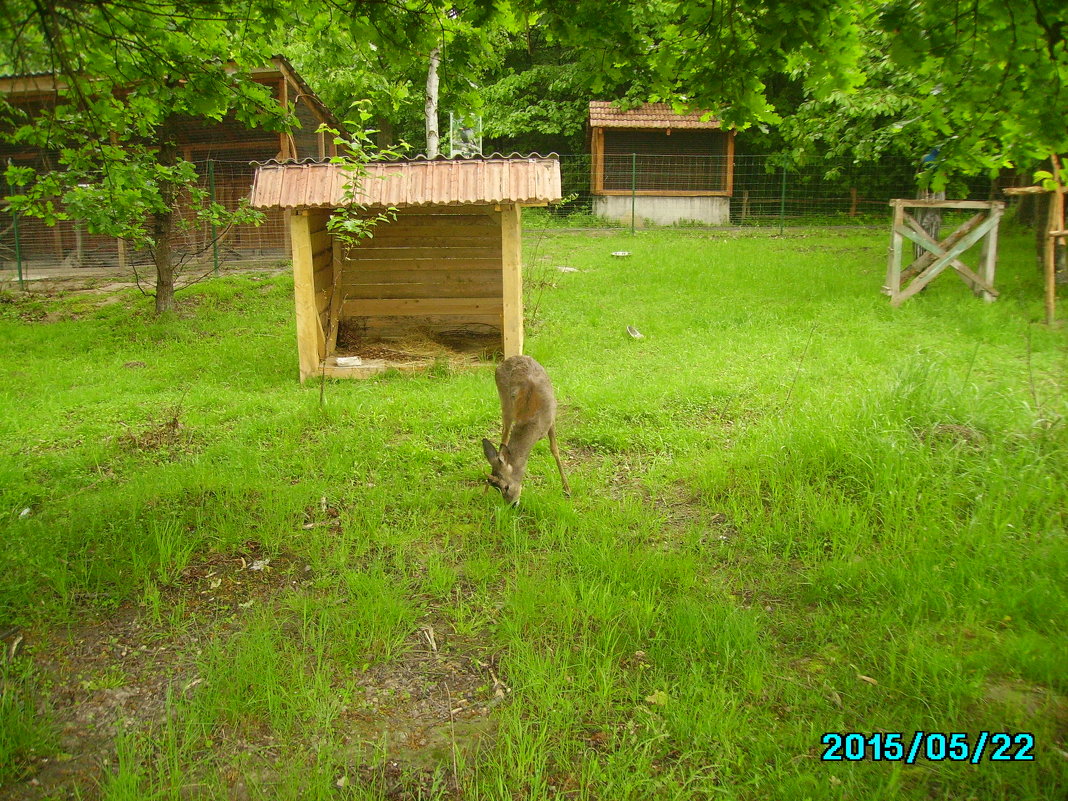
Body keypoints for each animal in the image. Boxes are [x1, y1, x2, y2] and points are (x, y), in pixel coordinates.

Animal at [482, 354, 572, 504]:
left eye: (506, 486)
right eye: (497, 488)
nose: (512, 505)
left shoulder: (552, 420)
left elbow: (555, 450)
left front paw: (567, 488)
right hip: (505, 403)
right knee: (504, 437)